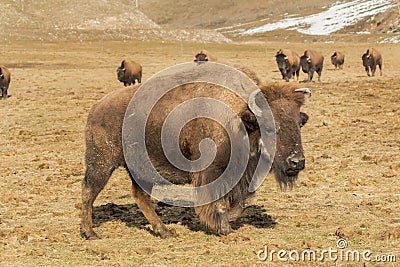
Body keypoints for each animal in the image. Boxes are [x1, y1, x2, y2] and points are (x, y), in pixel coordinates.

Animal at [79, 68, 312, 240]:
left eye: (299, 123)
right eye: (271, 127)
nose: (297, 162)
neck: (240, 119)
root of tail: (96, 107)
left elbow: (239, 203)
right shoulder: (211, 173)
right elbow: (219, 203)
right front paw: (223, 229)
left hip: (140, 171)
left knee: (140, 196)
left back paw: (164, 232)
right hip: (102, 164)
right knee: (89, 191)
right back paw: (90, 233)